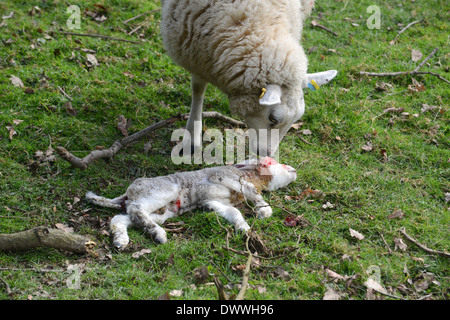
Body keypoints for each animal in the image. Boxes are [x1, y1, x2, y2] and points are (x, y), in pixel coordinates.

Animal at [85, 158, 298, 250]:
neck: (249, 174)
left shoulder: (214, 202)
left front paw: (243, 229)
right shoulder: (225, 177)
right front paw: (264, 211)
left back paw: (120, 241)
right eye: (271, 162)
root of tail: (129, 191)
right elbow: (251, 192)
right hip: (163, 191)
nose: (294, 169)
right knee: (136, 210)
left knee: (121, 217)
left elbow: (233, 213)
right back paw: (159, 235)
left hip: (162, 211)